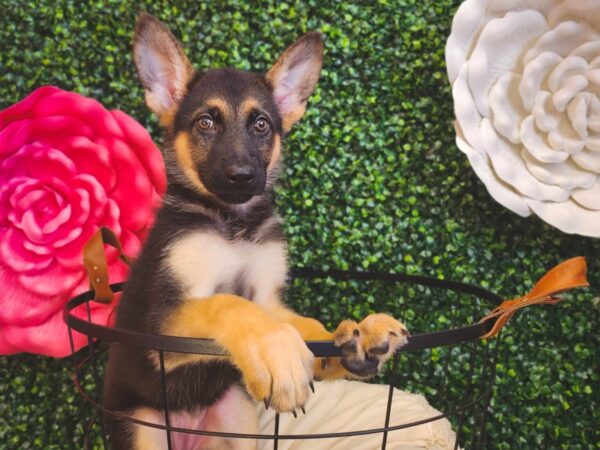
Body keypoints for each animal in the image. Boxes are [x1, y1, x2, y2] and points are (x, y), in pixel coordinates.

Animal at [104, 12, 412, 448]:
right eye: (205, 122)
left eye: (262, 124)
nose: (242, 176)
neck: (236, 223)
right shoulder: (164, 323)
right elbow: (227, 303)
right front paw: (276, 353)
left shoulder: (268, 299)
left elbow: (304, 325)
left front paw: (355, 334)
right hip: (142, 426)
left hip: (238, 420)